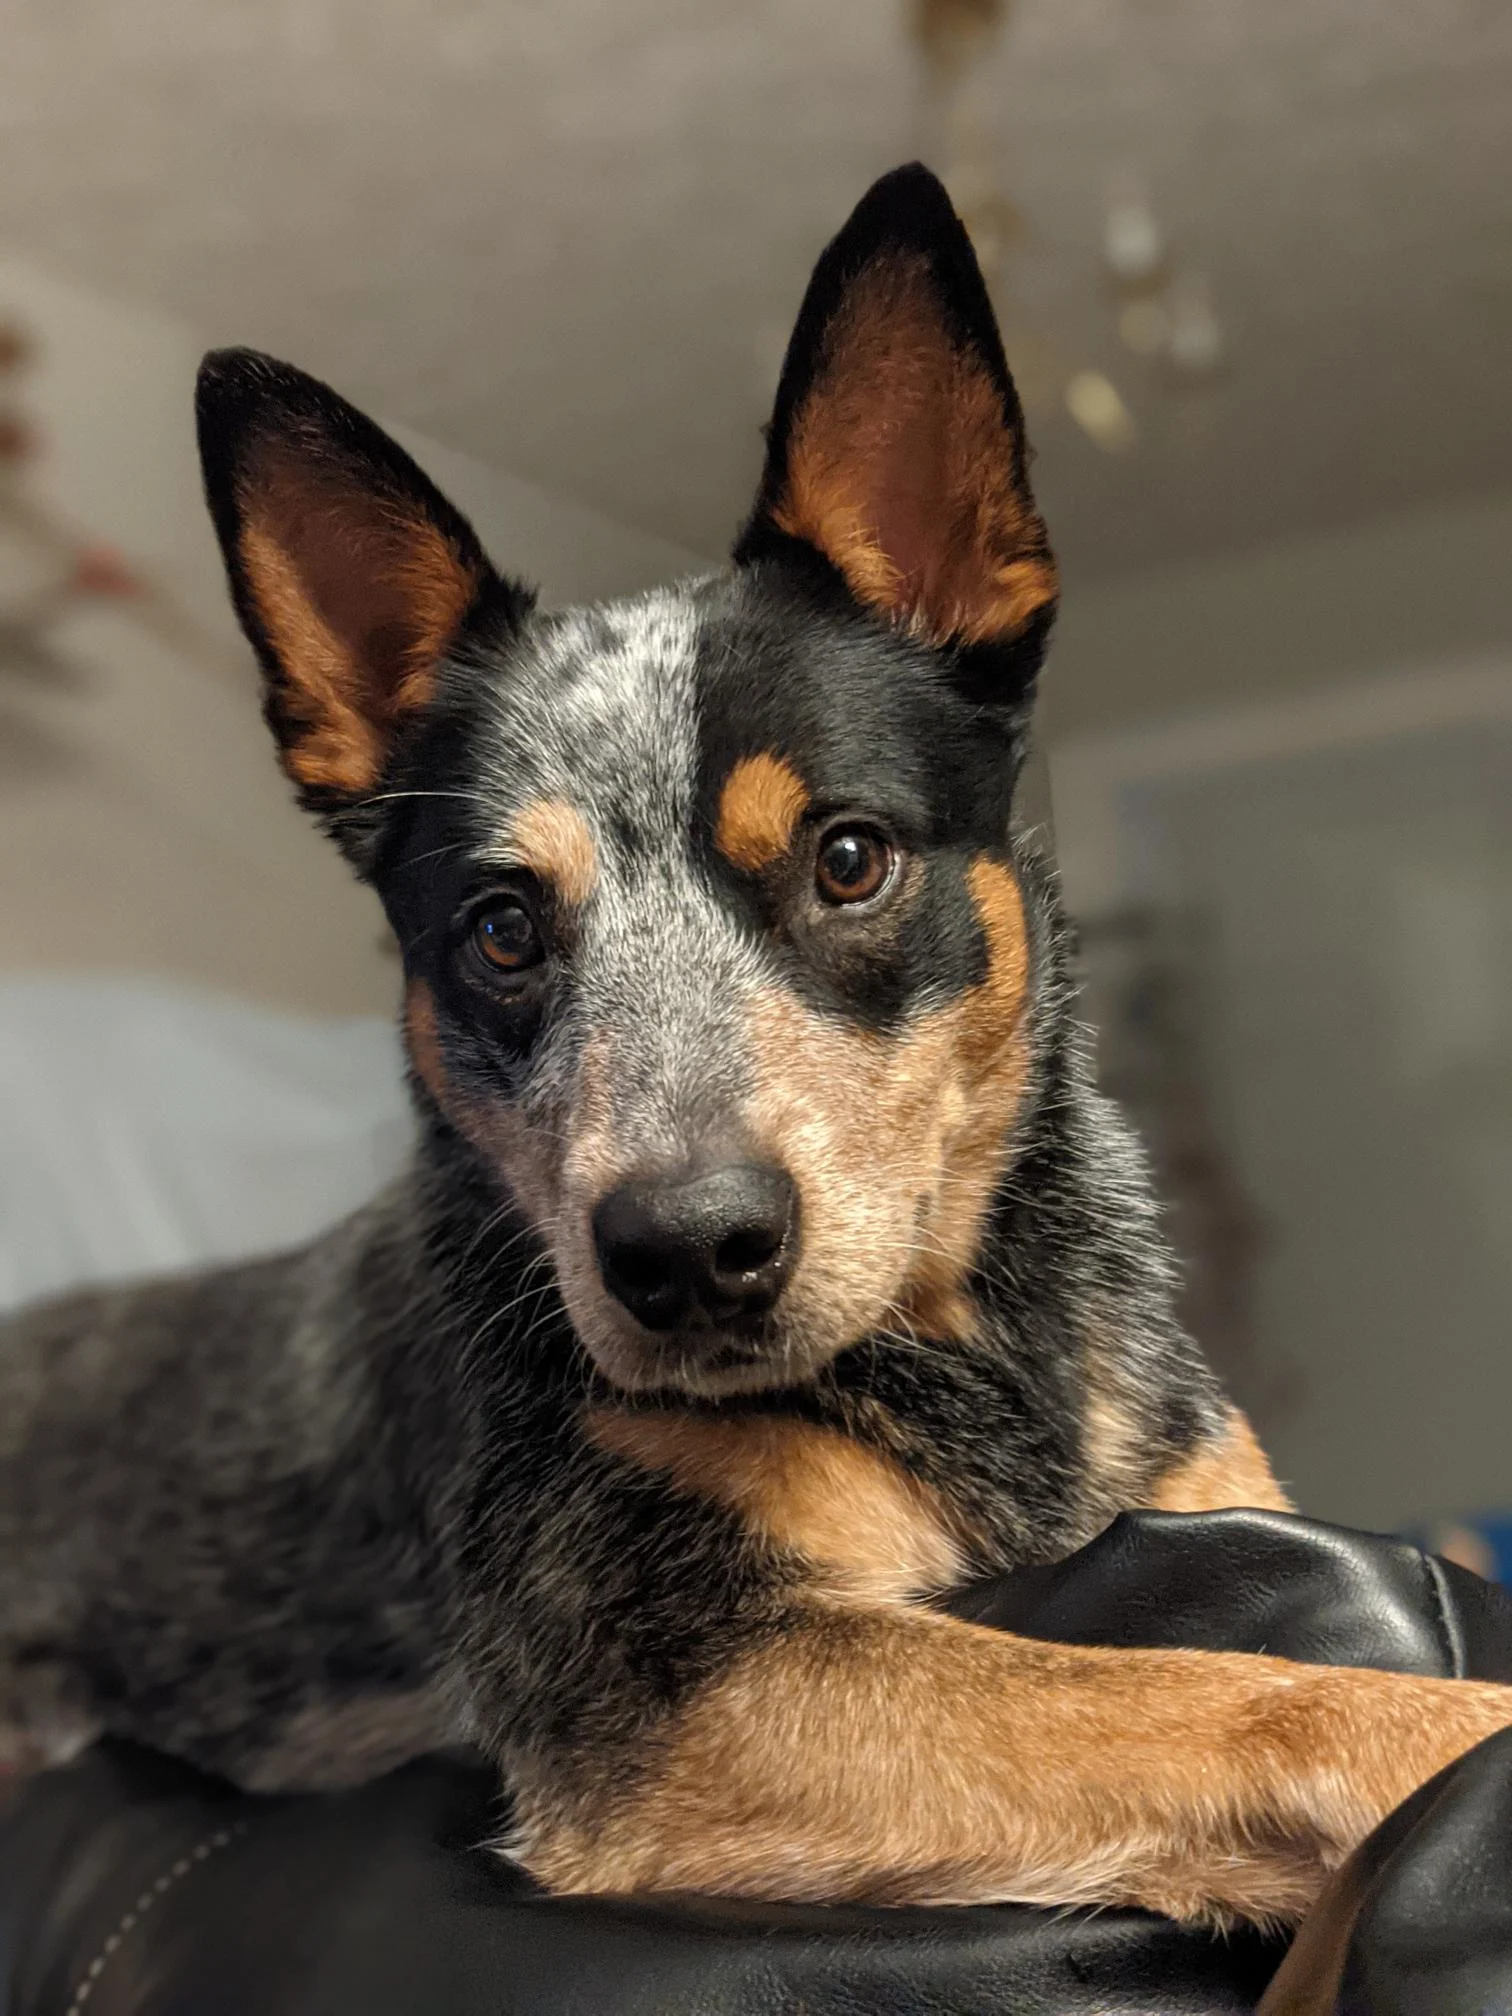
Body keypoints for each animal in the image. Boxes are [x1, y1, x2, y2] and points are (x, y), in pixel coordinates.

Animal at [2, 165, 1512, 1927]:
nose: (684, 1252)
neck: (972, 1357)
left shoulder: (1212, 1498)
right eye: (501, 933)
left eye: (846, 858)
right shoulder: (683, 1673)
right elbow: (1233, 1691)